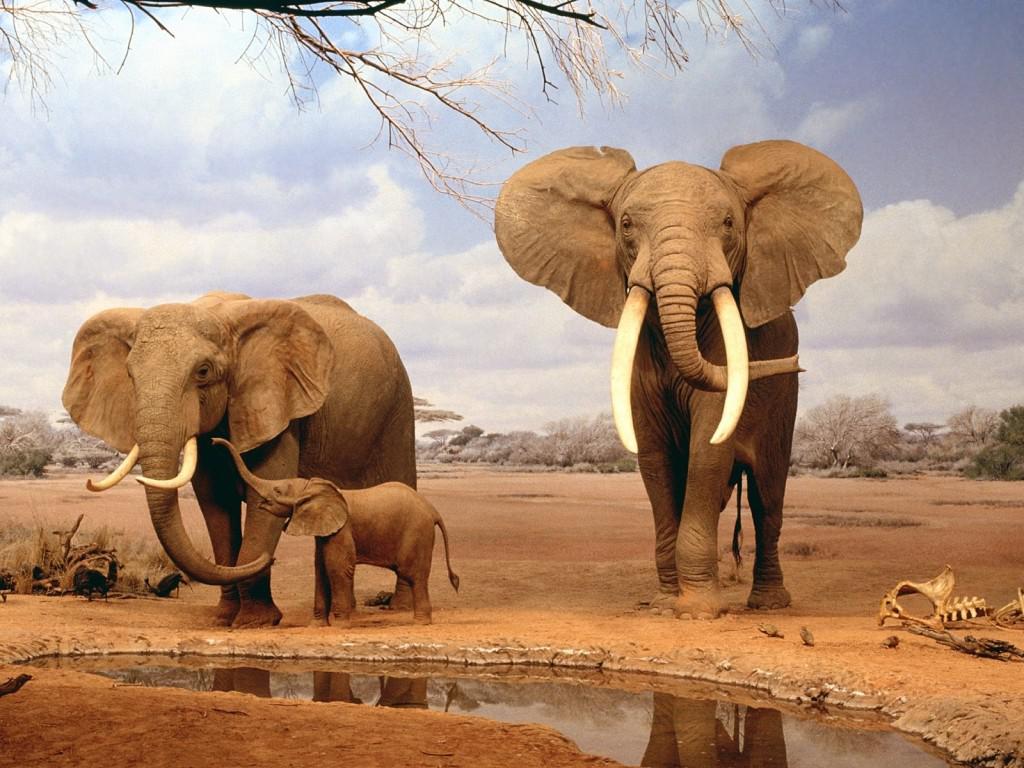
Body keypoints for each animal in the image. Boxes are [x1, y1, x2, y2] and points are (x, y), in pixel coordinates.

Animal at [62, 292, 416, 627]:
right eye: (130, 375)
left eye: (203, 372)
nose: (270, 559)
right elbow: (215, 504)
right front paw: (224, 618)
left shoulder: (276, 407)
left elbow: (263, 495)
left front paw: (254, 622)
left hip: (398, 407)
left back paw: (400, 608)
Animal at [214, 437, 459, 625]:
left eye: (277, 490)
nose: (214, 441)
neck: (312, 487)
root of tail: (432, 510)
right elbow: (320, 568)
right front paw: (317, 626)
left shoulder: (342, 530)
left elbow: (337, 568)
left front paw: (340, 625)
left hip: (417, 532)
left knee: (414, 575)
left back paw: (421, 622)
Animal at [495, 140, 862, 618]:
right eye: (627, 225)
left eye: (728, 223)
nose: (796, 362)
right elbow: (654, 458)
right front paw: (663, 604)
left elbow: (708, 449)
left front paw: (697, 611)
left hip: (785, 401)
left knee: (767, 497)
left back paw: (768, 605)